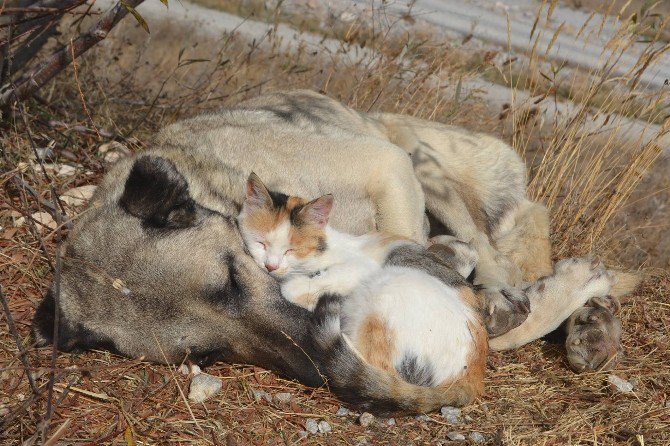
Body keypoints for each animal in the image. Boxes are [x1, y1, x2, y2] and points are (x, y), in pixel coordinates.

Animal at [239, 173, 490, 398]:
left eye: (291, 250)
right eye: (261, 243)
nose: (270, 265)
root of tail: (472, 374)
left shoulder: (361, 267)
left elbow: (297, 286)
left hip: (388, 286)